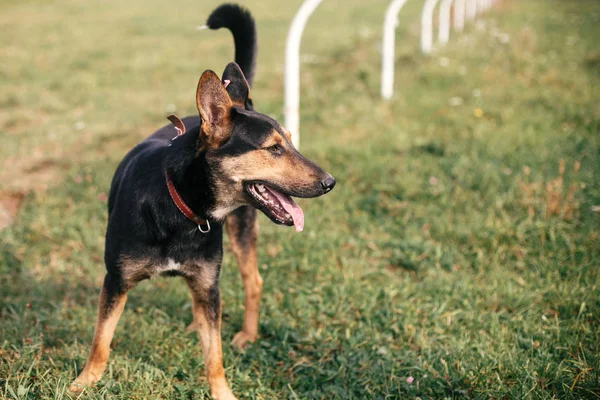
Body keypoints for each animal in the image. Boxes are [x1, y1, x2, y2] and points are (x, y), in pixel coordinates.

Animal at [70, 3, 336, 400]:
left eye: (290, 141)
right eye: (274, 148)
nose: (330, 182)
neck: (181, 206)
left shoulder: (209, 285)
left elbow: (215, 357)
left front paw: (222, 392)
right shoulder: (116, 280)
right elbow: (101, 339)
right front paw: (84, 382)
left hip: (238, 238)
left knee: (253, 282)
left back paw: (246, 334)